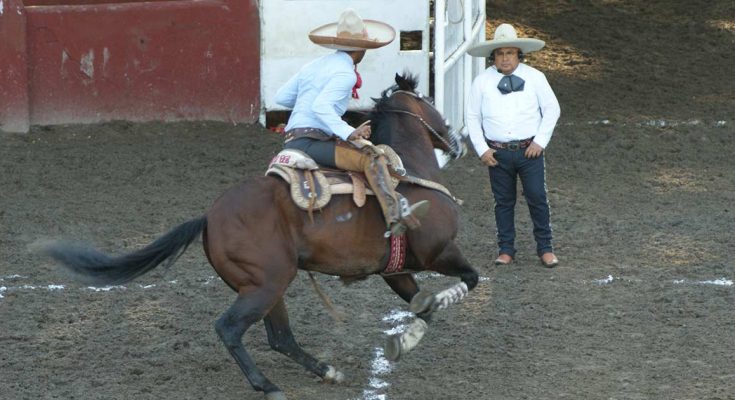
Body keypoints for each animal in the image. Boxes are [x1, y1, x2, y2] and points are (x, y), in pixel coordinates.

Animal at [41, 73, 478, 398]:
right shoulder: (439, 251)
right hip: (266, 285)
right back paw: (267, 386)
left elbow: (423, 307)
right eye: (430, 100)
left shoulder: (396, 269)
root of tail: (209, 217)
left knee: (279, 337)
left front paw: (403, 341)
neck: (409, 174)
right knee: (230, 329)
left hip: (268, 284)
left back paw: (327, 370)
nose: (456, 141)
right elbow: (467, 281)